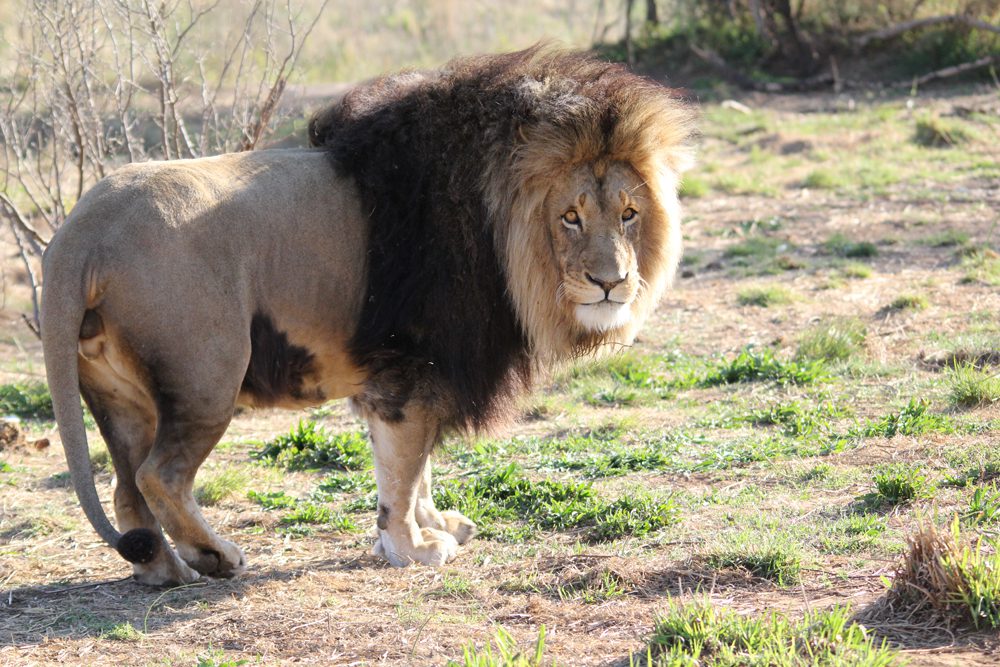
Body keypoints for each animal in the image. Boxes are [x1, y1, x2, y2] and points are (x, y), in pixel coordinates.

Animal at [41, 46, 695, 586]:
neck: (499, 226)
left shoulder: (413, 381)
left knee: (126, 490)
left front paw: (435, 525)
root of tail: (81, 229)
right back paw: (216, 556)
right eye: (571, 217)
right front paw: (412, 547)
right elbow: (402, 474)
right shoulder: (412, 370)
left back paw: (165, 570)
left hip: (121, 397)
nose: (610, 283)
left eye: (630, 214)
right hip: (206, 377)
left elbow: (413, 468)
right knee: (159, 477)